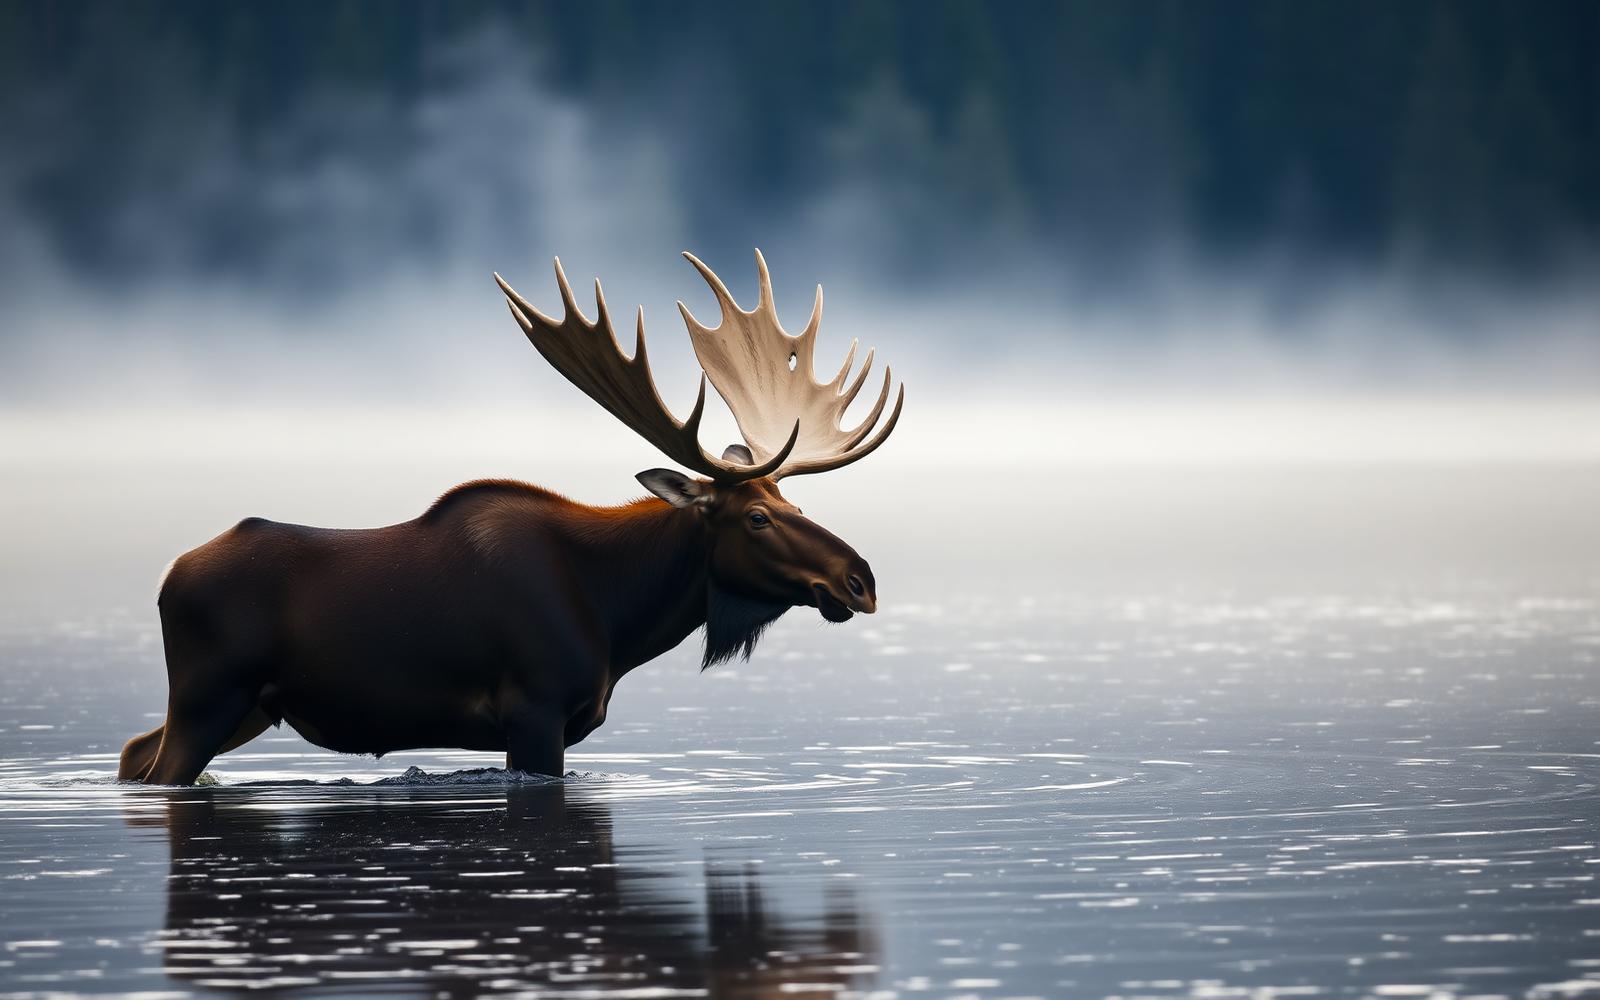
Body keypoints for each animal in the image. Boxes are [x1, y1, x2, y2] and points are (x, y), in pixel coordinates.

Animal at [118, 251, 904, 784]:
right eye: (757, 519)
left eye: (795, 504)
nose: (860, 580)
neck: (617, 614)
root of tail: (167, 576)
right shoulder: (534, 708)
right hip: (210, 694)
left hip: (248, 706)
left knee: (132, 751)